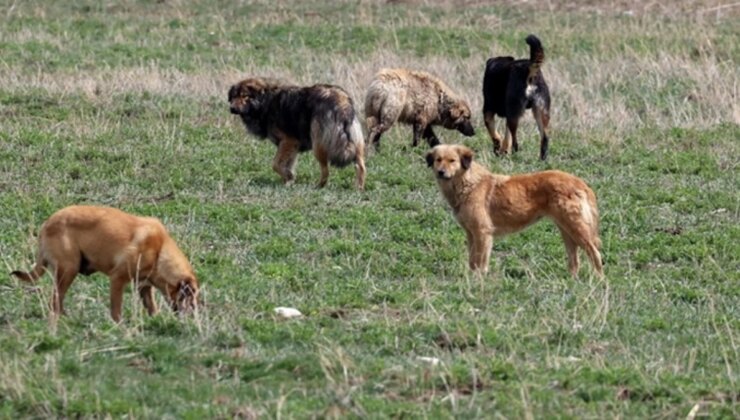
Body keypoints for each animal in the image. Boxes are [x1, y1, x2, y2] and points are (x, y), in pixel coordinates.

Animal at [10, 206, 199, 322]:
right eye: (191, 296)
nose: (195, 315)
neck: (160, 251)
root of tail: (46, 224)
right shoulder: (117, 279)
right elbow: (116, 309)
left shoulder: (144, 286)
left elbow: (151, 307)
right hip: (69, 269)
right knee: (55, 300)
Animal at [225, 78, 364, 189]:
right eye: (233, 97)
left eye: (245, 96)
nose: (232, 109)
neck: (265, 102)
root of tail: (342, 100)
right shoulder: (292, 146)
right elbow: (286, 165)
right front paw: (288, 181)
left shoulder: (288, 141)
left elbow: (275, 164)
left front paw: (289, 178)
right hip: (356, 143)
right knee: (360, 166)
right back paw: (359, 188)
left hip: (318, 146)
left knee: (326, 170)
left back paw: (319, 186)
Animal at [424, 146, 604, 278]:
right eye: (438, 160)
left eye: (452, 160)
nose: (440, 172)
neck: (467, 183)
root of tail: (580, 183)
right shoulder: (471, 233)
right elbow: (472, 260)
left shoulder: (482, 232)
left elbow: (480, 260)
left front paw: (478, 279)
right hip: (566, 230)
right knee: (575, 260)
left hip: (576, 229)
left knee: (595, 254)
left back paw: (598, 279)